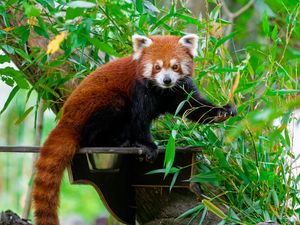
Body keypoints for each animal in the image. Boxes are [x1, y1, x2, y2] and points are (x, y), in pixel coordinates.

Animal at [32, 33, 237, 225]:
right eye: (157, 67)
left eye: (175, 66)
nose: (167, 80)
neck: (161, 90)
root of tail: (67, 118)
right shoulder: (140, 89)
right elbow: (139, 120)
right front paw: (147, 145)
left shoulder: (180, 90)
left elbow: (193, 107)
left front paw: (222, 111)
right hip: (100, 105)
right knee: (102, 124)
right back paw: (121, 142)